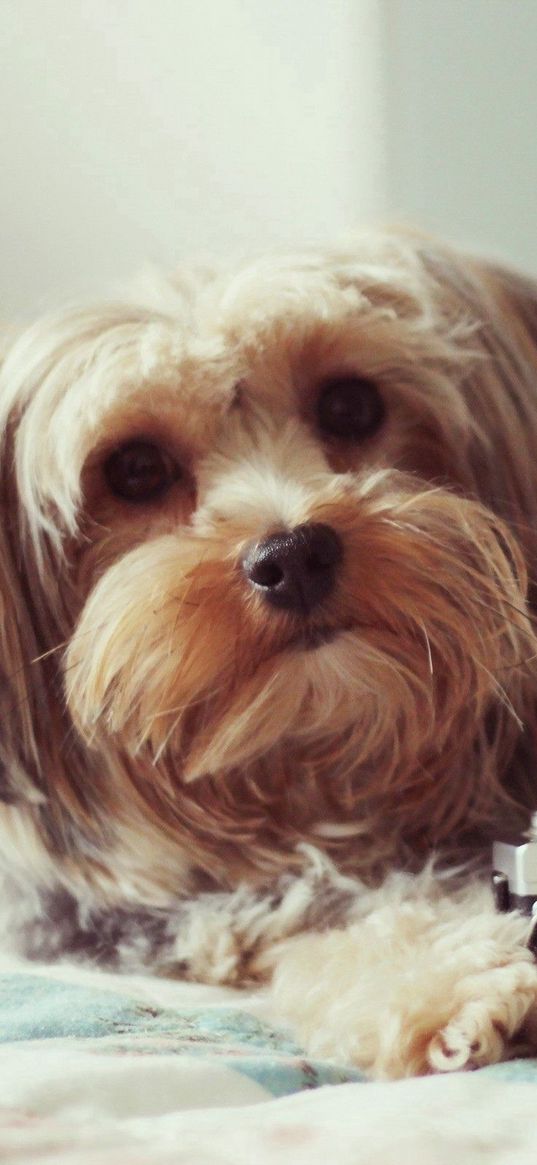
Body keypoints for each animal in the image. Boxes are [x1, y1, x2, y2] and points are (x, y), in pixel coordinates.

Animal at [3, 229, 535, 1081]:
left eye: (351, 404)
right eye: (135, 468)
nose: (293, 553)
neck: (302, 769)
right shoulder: (140, 912)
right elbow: (314, 909)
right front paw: (449, 980)